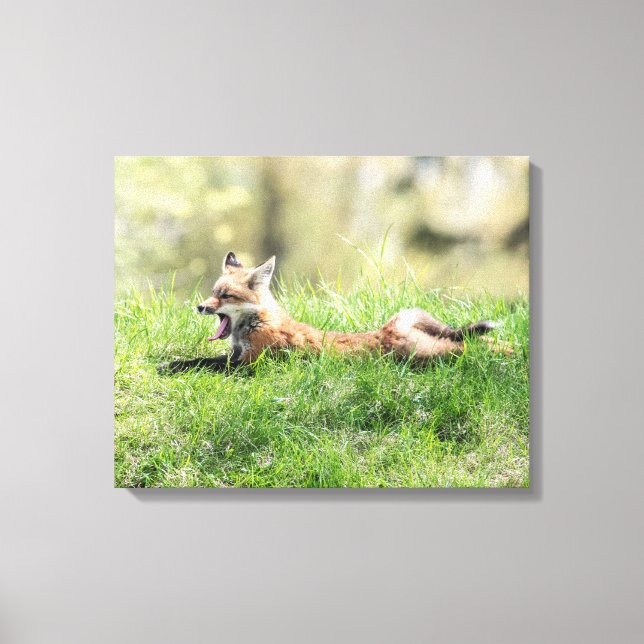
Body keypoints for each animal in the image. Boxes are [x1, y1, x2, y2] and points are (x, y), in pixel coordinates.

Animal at [161, 251, 512, 373]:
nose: (200, 306)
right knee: (469, 340)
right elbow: (199, 358)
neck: (254, 325)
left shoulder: (249, 364)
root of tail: (387, 330)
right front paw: (173, 361)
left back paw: (507, 351)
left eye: (225, 296)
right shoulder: (235, 356)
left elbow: (205, 364)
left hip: (428, 354)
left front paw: (171, 366)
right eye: (212, 293)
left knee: (468, 346)